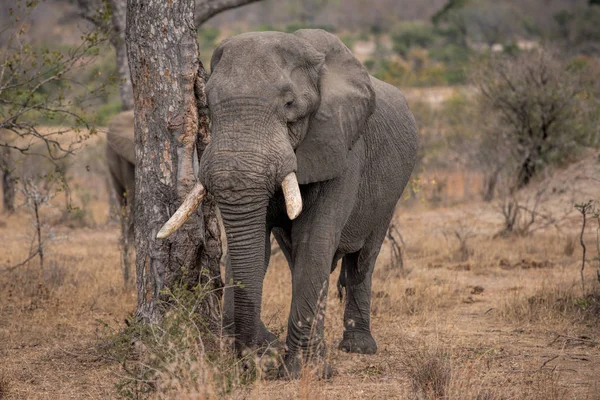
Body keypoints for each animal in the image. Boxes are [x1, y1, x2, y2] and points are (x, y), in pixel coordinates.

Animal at [157, 29, 420, 376]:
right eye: (209, 106)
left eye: (289, 104)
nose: (255, 359)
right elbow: (259, 246)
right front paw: (272, 352)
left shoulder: (340, 146)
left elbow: (315, 239)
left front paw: (303, 371)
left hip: (391, 192)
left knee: (362, 260)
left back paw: (358, 347)